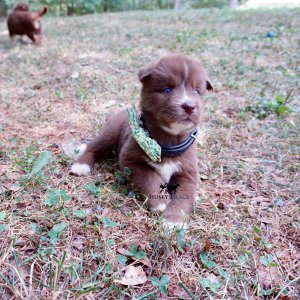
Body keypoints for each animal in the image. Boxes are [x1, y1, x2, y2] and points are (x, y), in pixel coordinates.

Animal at [71, 54, 213, 229]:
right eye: (167, 90)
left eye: (197, 91)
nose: (190, 106)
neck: (167, 142)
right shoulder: (130, 160)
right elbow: (150, 177)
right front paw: (161, 203)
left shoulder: (188, 173)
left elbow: (184, 195)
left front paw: (173, 221)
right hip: (110, 132)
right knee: (94, 147)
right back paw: (80, 165)